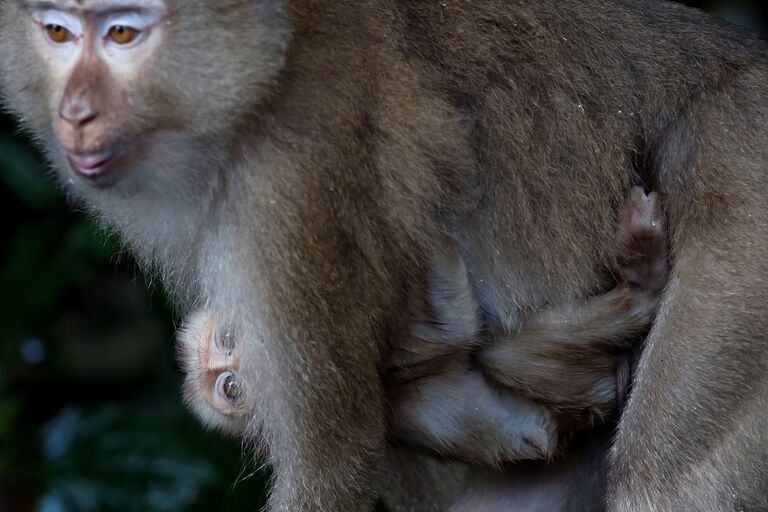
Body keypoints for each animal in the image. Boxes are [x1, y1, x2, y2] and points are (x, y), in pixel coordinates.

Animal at [178, 189, 664, 468]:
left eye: (226, 339)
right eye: (232, 389)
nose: (244, 351)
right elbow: (454, 330)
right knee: (504, 356)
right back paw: (643, 278)